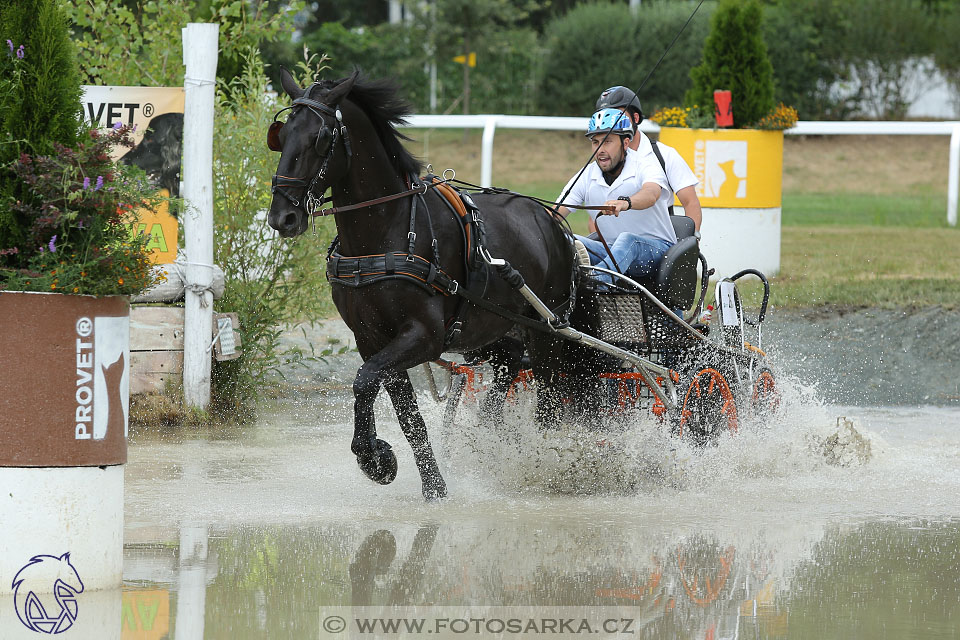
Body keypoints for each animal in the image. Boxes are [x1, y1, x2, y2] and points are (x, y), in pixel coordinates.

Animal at [266, 70, 572, 500]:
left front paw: (373, 455)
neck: (386, 233)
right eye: (282, 134)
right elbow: (405, 414)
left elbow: (364, 381)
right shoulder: (373, 338)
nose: (282, 216)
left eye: (320, 138)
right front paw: (431, 485)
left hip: (547, 332)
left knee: (552, 396)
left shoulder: (423, 336)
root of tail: (550, 219)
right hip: (490, 329)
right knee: (510, 365)